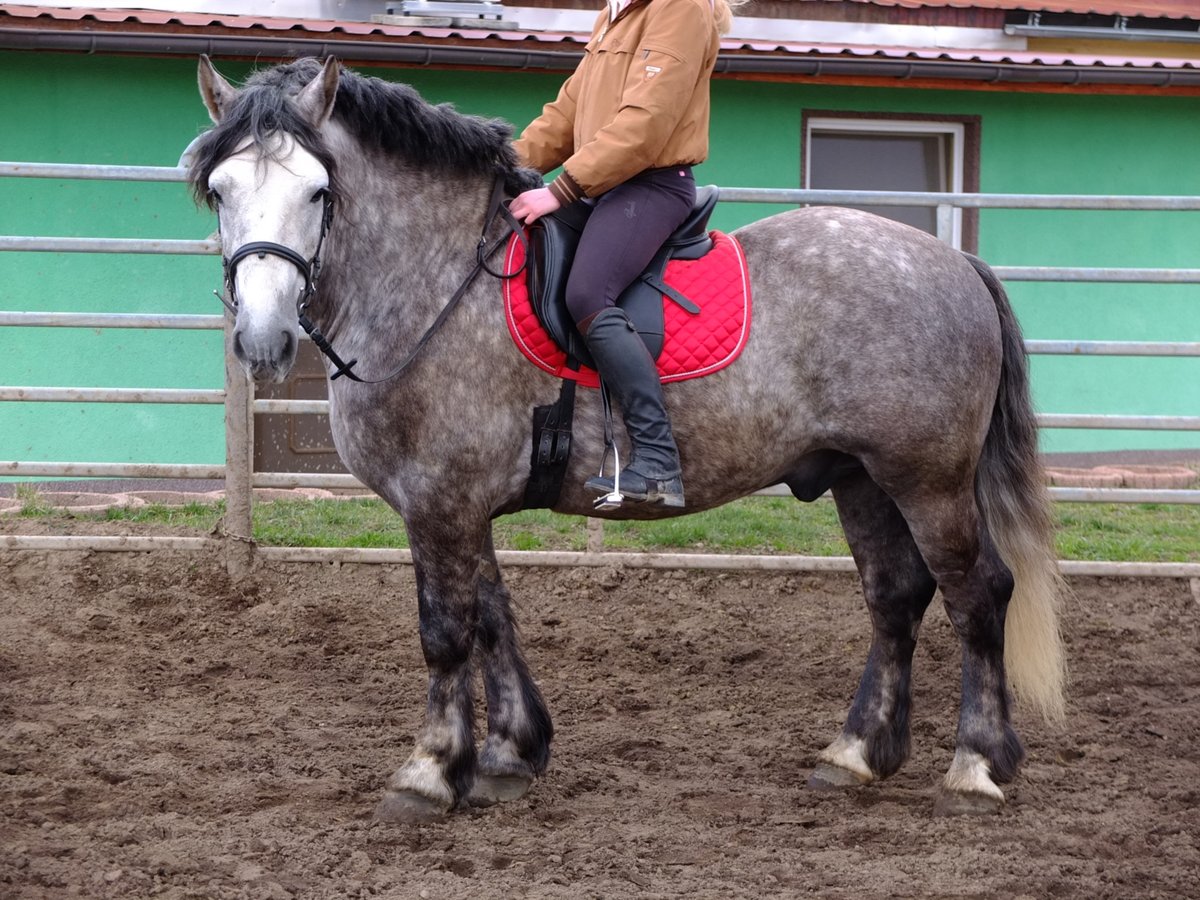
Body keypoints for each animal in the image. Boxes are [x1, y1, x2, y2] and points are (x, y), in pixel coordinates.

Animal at [192, 52, 1065, 820]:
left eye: (317, 192)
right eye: (220, 191)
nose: (263, 341)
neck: (436, 283)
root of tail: (954, 262)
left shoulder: (439, 500)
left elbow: (446, 632)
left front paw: (432, 771)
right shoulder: (462, 502)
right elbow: (491, 616)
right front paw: (511, 753)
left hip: (929, 480)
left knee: (978, 595)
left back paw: (977, 765)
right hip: (861, 477)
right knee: (896, 597)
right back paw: (856, 753)